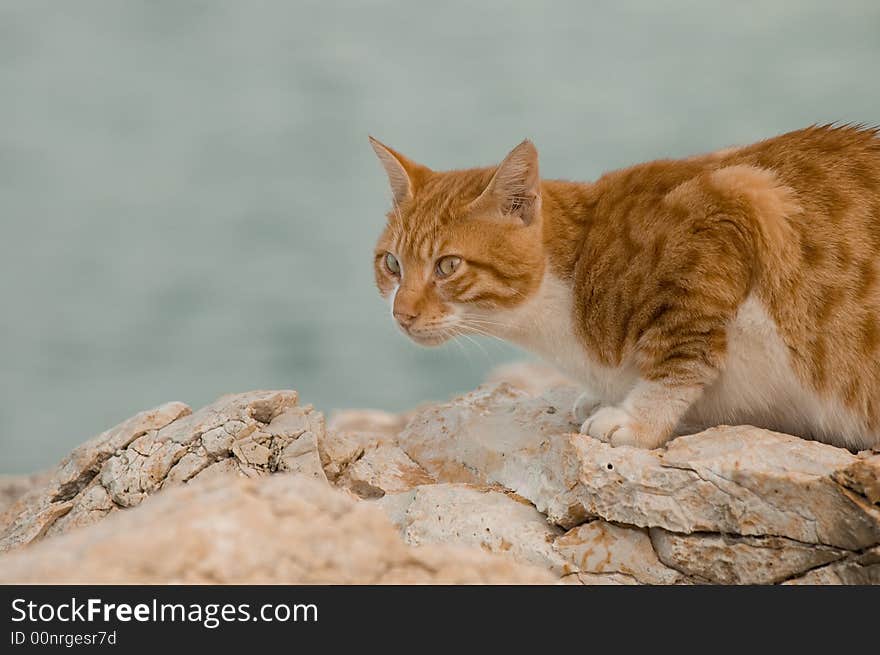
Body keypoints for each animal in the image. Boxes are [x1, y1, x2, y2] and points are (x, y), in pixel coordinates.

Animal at [370, 125, 880, 452]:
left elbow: (681, 357)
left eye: (448, 265)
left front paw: (639, 419)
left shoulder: (737, 206)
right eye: (392, 264)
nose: (401, 314)